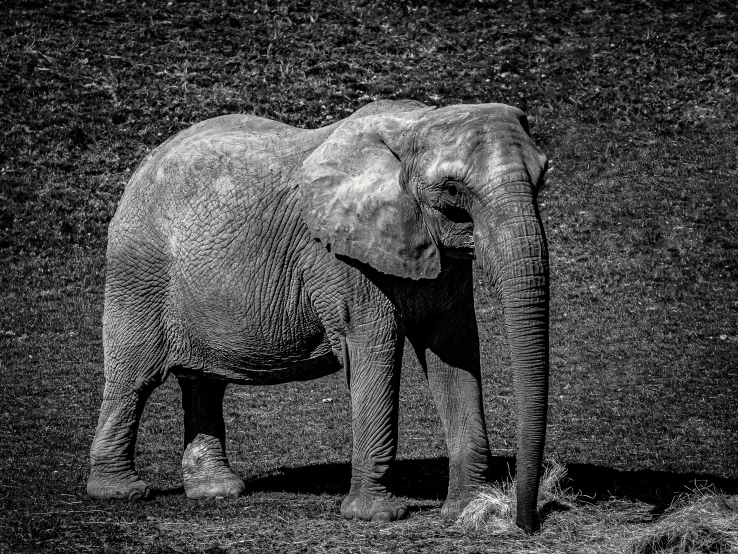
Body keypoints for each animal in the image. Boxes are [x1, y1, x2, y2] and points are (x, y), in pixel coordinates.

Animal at [87, 99, 548, 532]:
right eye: (452, 190)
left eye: (542, 178)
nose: (524, 524)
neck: (414, 125)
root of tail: (145, 164)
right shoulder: (339, 258)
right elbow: (373, 348)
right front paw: (378, 517)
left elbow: (454, 353)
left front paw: (469, 511)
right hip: (138, 268)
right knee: (134, 379)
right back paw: (120, 492)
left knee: (203, 382)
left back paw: (217, 491)